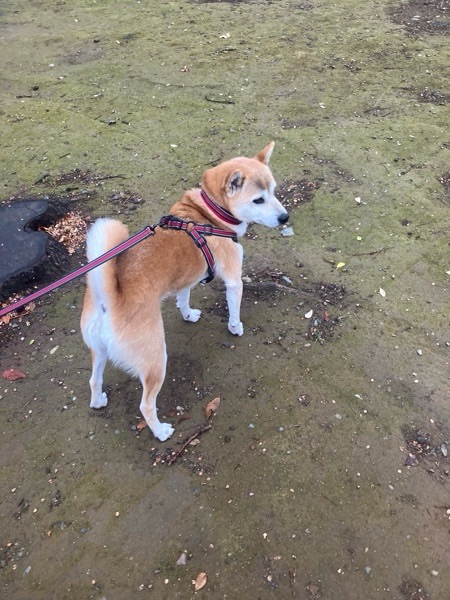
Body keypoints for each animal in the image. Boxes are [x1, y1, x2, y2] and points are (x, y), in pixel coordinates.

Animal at [80, 142, 288, 441]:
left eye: (274, 191)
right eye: (258, 200)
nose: (285, 217)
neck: (210, 215)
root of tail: (109, 298)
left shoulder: (187, 279)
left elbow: (183, 298)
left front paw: (188, 315)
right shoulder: (234, 280)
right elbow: (234, 309)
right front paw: (235, 327)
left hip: (98, 351)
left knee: (94, 379)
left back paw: (98, 401)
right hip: (156, 359)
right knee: (146, 405)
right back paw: (161, 431)